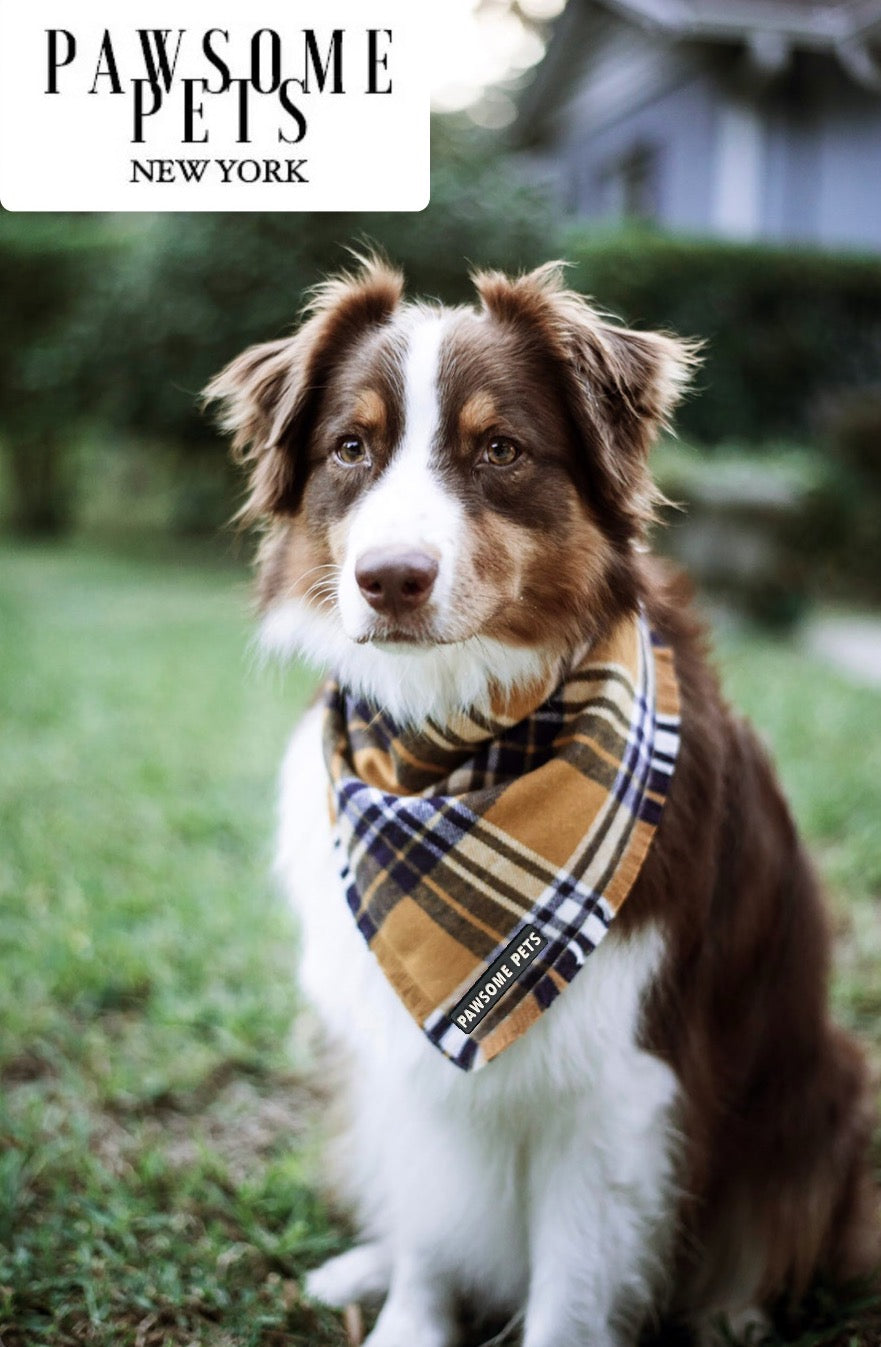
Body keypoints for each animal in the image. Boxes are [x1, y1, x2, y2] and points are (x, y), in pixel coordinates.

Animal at [204, 254, 878, 1347]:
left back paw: (733, 1312)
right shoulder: (405, 1053)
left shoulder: (614, 1087)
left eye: (500, 449)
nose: (388, 579)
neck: (459, 742)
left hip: (828, 1090)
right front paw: (408, 1317)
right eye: (350, 447)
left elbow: (568, 1290)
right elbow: (431, 1224)